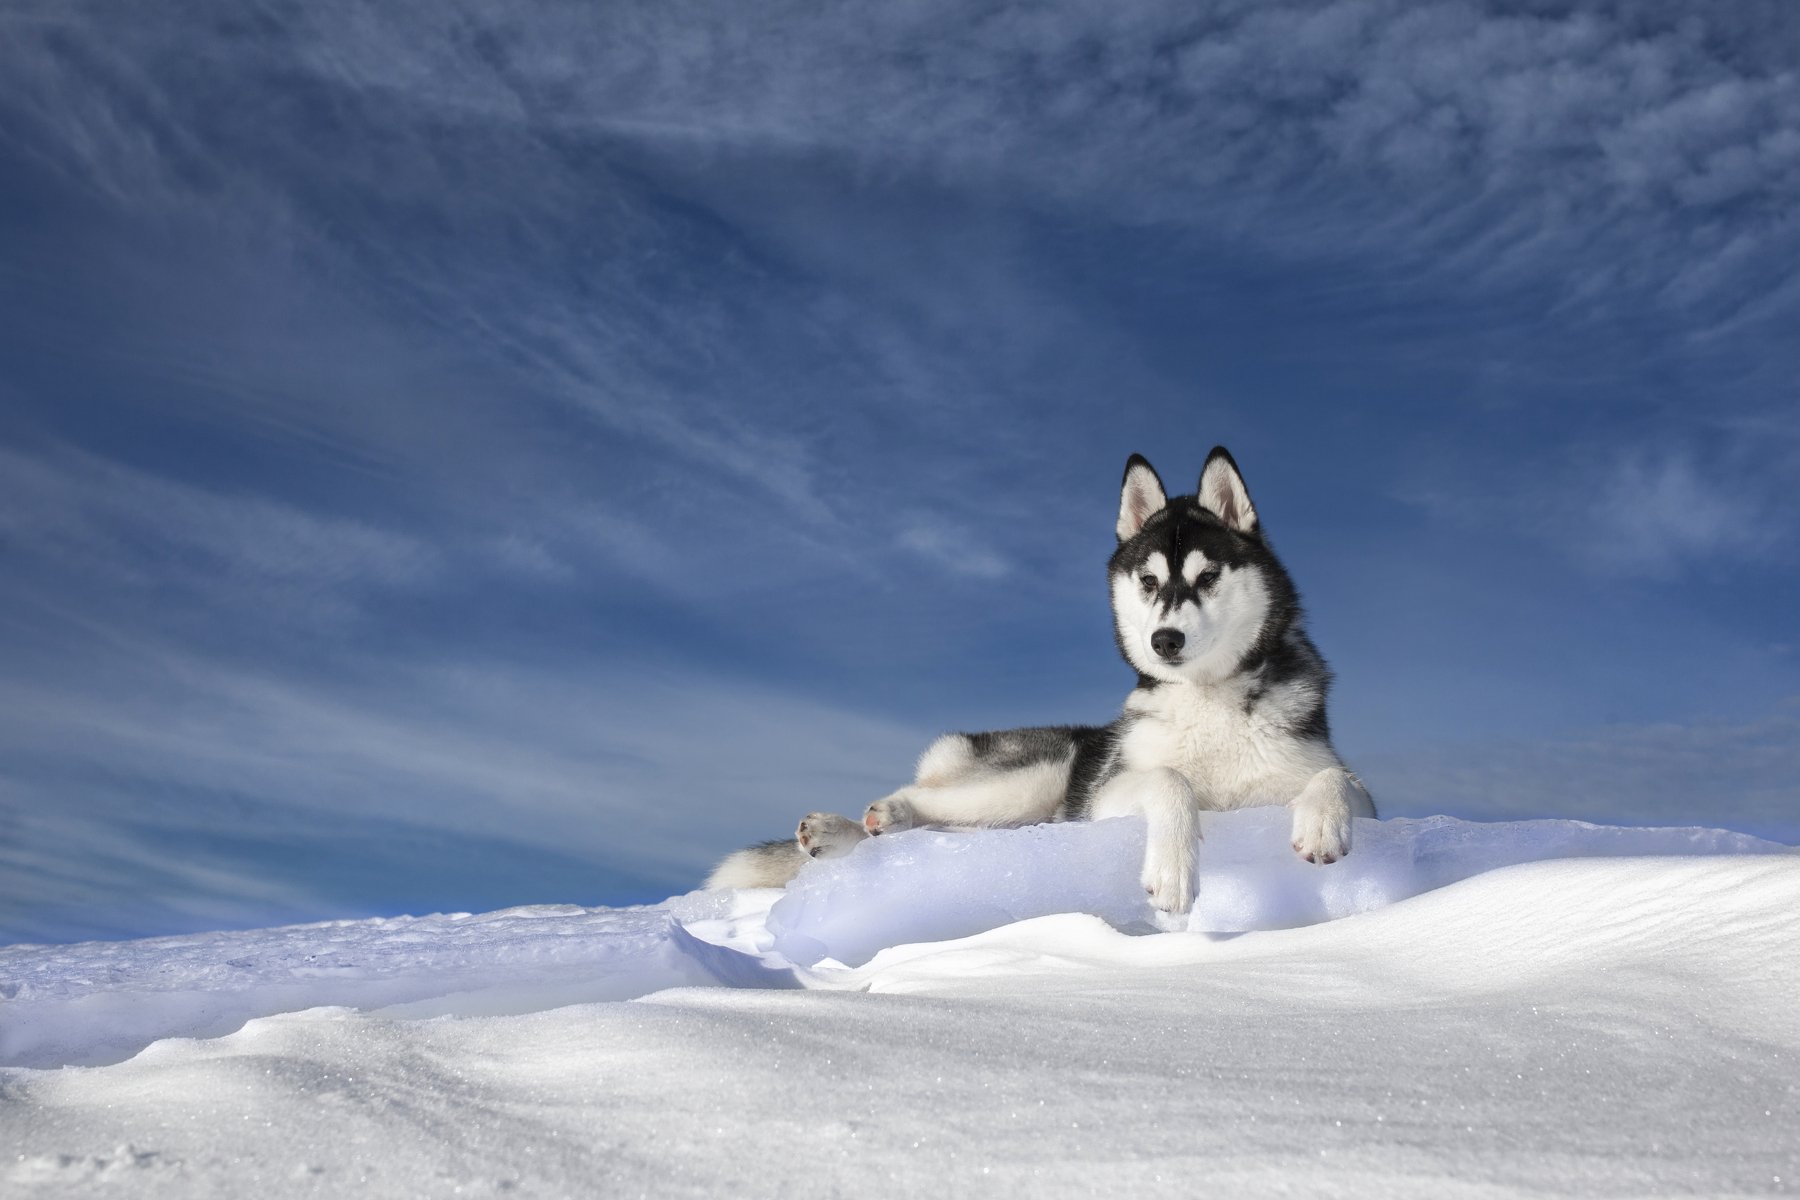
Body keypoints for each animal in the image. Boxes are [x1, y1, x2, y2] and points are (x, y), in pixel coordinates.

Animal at [709, 447, 1368, 910]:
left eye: (1208, 578)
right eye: (1149, 582)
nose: (1165, 640)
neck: (1208, 700)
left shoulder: (1322, 781)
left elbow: (1340, 777)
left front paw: (1322, 824)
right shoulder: (1105, 797)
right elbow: (1170, 779)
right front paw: (1172, 870)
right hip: (1035, 778)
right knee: (922, 802)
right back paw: (859, 820)